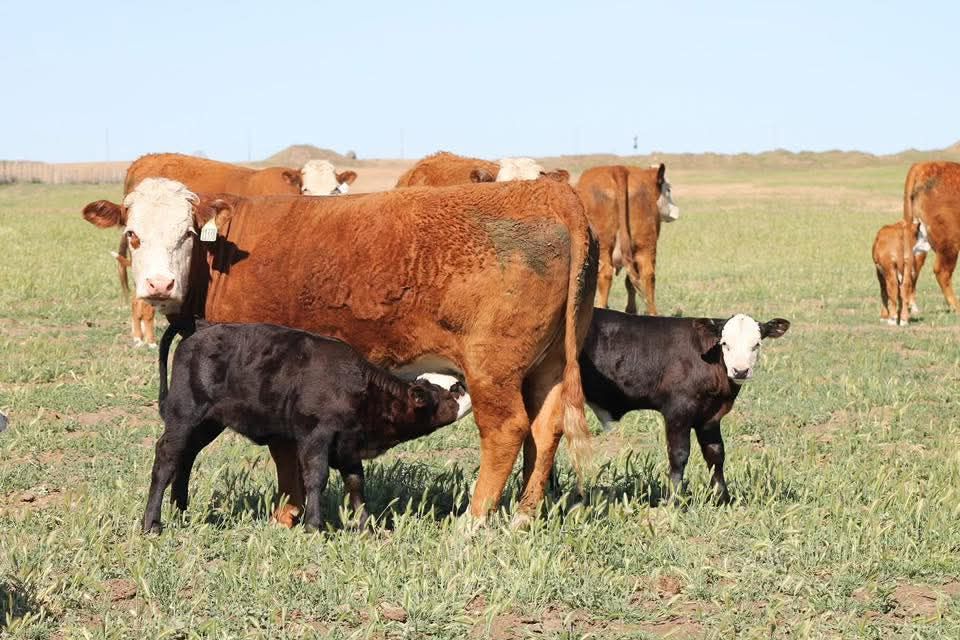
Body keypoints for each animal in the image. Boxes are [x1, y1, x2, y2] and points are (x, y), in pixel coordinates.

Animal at [144, 322, 471, 534]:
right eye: (453, 389)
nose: (466, 383)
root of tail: (197, 331)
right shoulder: (316, 437)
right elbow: (316, 478)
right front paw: (314, 525)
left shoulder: (348, 446)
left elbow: (356, 485)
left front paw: (367, 527)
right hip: (184, 415)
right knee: (166, 458)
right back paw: (152, 523)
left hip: (208, 423)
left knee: (185, 458)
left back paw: (181, 509)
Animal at [576, 164, 679, 315]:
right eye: (668, 189)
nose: (676, 211)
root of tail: (618, 169)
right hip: (645, 245)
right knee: (647, 275)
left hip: (603, 245)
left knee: (605, 274)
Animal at [579, 309, 790, 503]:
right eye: (724, 343)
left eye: (757, 344)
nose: (740, 371)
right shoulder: (678, 410)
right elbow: (679, 455)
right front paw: (675, 499)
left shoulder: (710, 416)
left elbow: (716, 454)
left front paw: (722, 498)